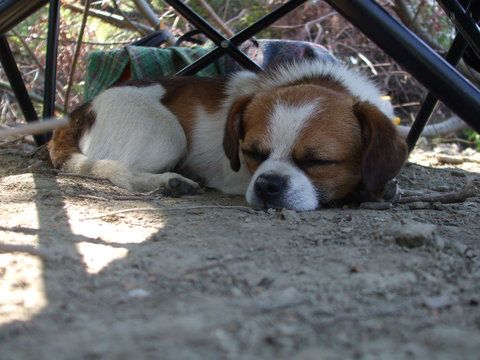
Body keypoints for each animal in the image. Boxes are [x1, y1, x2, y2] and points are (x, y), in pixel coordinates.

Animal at [48, 59, 406, 211]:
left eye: (318, 161)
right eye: (253, 154)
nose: (267, 185)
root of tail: (81, 110)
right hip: (167, 135)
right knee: (125, 172)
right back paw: (168, 182)